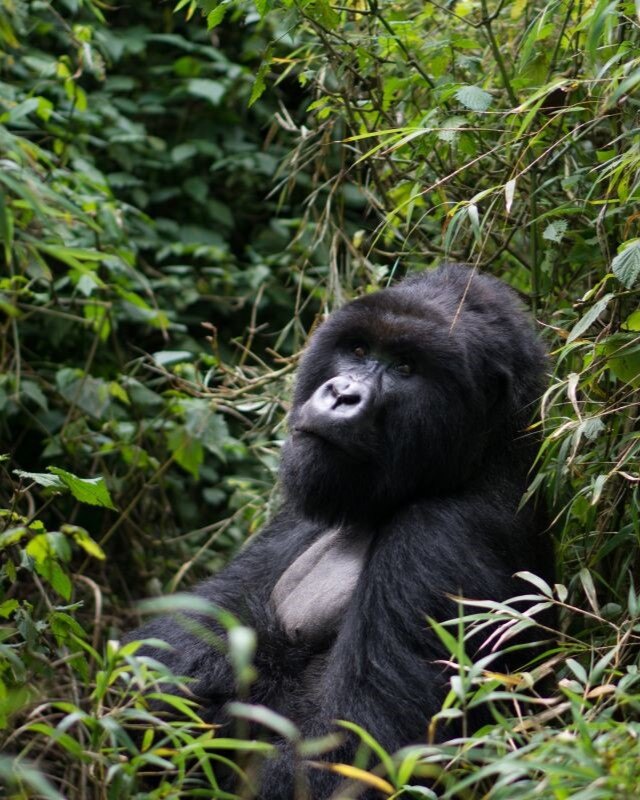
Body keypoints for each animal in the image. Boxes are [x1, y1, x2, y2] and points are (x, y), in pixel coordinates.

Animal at [127, 268, 552, 800]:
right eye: (358, 349)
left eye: (407, 367)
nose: (342, 394)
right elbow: (189, 634)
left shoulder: (443, 539)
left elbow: (354, 752)